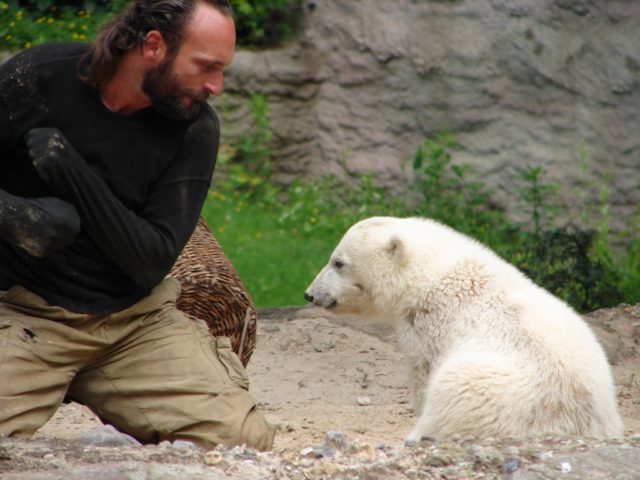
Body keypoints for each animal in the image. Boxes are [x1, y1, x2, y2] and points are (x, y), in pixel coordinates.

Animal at [306, 218, 624, 442]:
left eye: (338, 262)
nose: (310, 294)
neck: (433, 275)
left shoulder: (429, 324)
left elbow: (423, 375)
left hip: (498, 395)